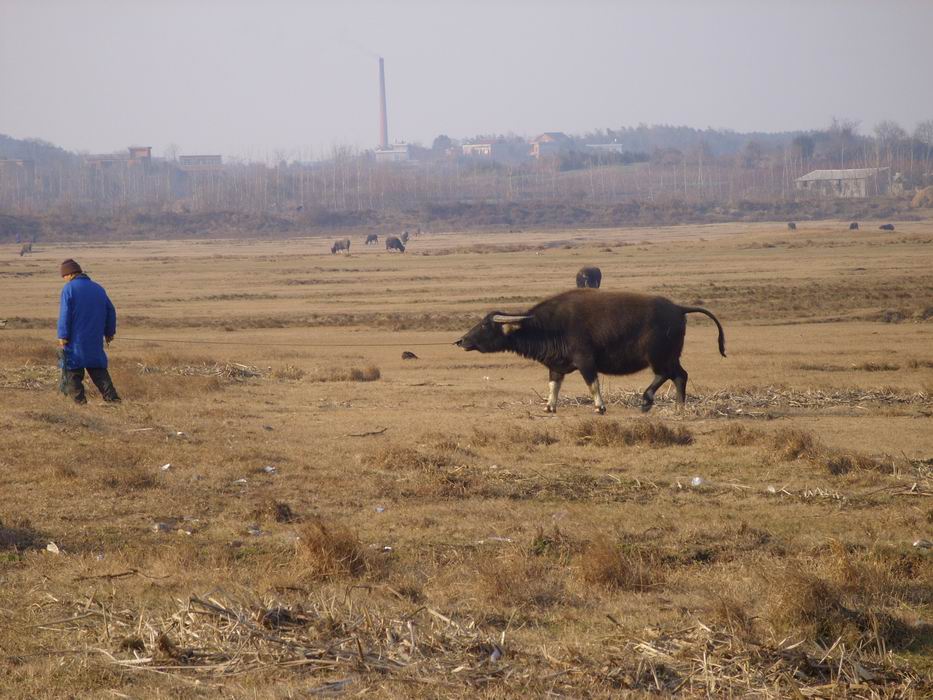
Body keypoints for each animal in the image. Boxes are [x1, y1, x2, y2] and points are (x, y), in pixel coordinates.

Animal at [456, 290, 724, 416]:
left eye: (485, 325)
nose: (461, 341)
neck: (548, 327)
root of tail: (678, 309)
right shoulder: (556, 366)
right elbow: (554, 386)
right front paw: (549, 407)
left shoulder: (585, 360)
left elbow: (592, 384)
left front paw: (599, 407)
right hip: (668, 357)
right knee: (677, 375)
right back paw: (672, 406)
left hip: (660, 356)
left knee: (674, 375)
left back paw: (653, 401)